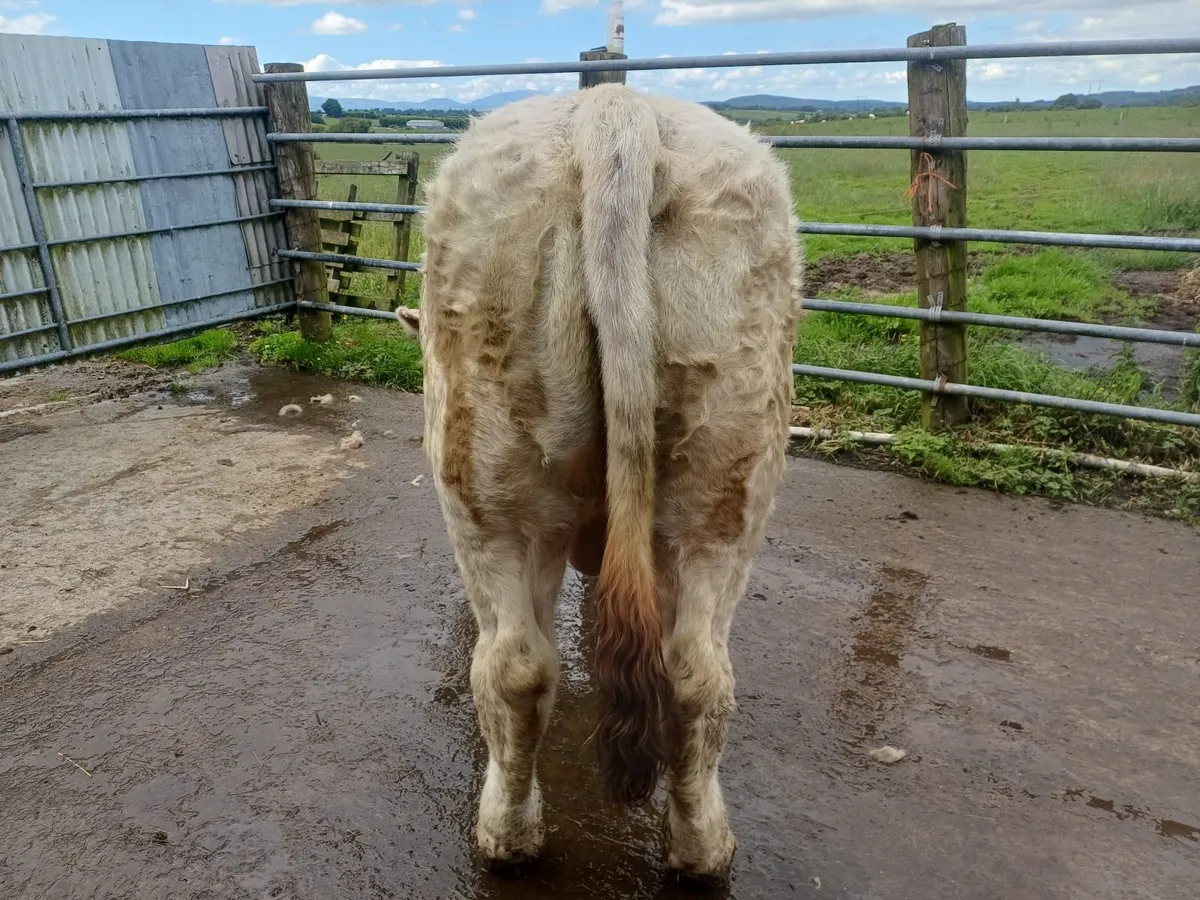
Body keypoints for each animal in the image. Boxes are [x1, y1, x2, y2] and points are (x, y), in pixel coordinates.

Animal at [400, 83, 802, 881]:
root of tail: (615, 108)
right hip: (727, 475)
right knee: (692, 672)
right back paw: (701, 848)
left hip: (485, 485)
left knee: (514, 666)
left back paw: (506, 835)